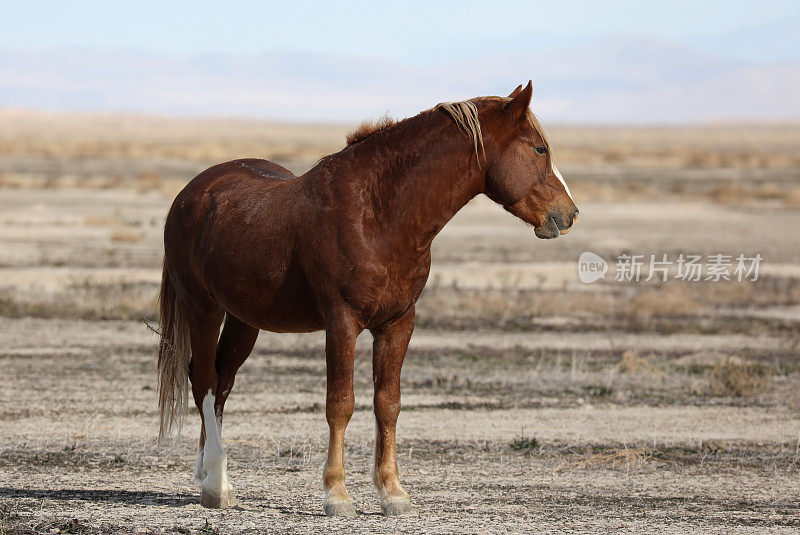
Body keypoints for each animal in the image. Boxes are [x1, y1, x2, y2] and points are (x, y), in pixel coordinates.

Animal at [156, 81, 580, 516]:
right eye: (539, 149)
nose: (568, 214)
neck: (379, 215)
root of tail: (191, 194)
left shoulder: (397, 324)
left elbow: (387, 403)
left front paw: (392, 492)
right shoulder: (342, 322)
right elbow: (340, 403)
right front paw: (337, 494)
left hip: (244, 320)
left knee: (221, 384)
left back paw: (212, 475)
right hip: (203, 309)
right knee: (204, 382)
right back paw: (215, 487)